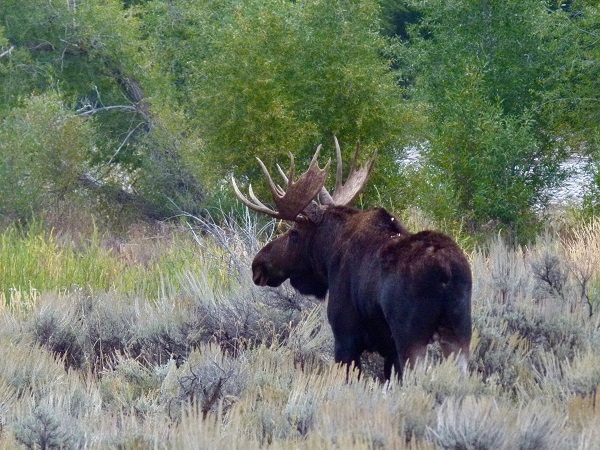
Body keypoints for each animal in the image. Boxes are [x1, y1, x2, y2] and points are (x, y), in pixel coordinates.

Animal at [232, 138, 472, 380]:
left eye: (294, 233)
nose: (258, 264)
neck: (329, 256)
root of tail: (446, 271)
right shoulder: (389, 350)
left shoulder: (345, 336)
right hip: (459, 333)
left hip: (411, 335)